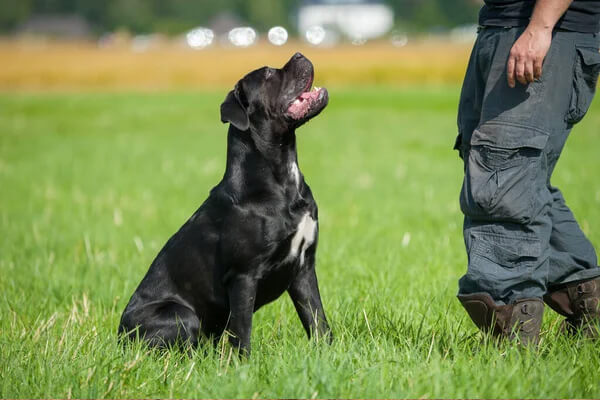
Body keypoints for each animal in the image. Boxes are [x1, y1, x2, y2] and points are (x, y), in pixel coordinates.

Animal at [119, 52, 330, 354]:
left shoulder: (304, 267)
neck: (282, 180)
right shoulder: (243, 276)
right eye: (268, 74)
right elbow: (242, 329)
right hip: (181, 314)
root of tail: (119, 335)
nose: (299, 54)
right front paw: (243, 363)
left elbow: (317, 319)